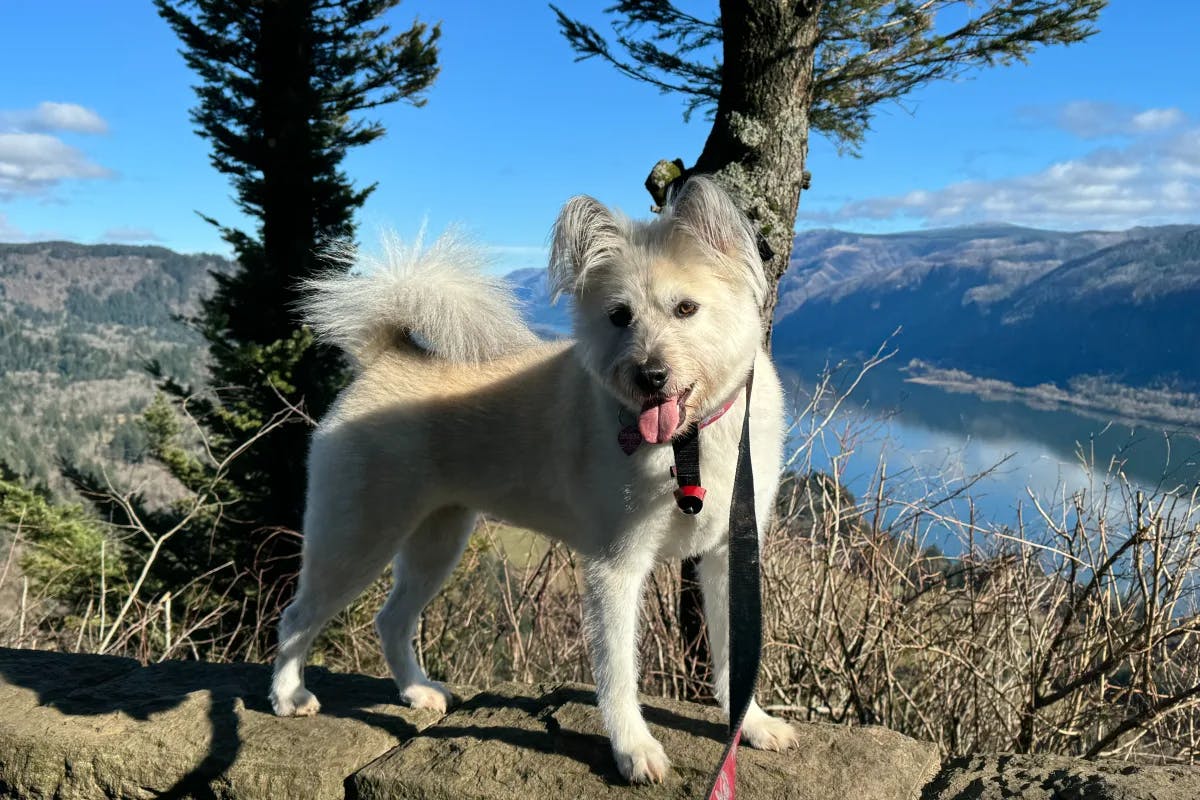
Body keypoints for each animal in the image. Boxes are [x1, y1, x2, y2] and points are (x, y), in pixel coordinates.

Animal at [270, 175, 796, 782]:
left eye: (686, 307)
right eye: (619, 316)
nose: (649, 376)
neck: (687, 441)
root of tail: (384, 357)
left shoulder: (727, 555)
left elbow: (735, 656)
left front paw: (751, 725)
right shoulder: (615, 567)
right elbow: (618, 672)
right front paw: (633, 749)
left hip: (436, 542)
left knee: (391, 619)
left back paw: (416, 691)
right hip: (356, 538)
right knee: (298, 617)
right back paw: (288, 695)